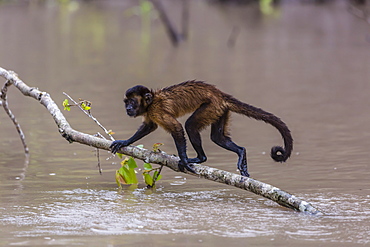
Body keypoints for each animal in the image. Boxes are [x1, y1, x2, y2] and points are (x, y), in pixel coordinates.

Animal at [110, 81, 292, 178]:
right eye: (126, 103)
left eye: (132, 102)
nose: (128, 109)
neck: (151, 102)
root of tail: (221, 95)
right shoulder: (150, 113)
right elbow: (149, 126)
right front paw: (125, 141)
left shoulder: (157, 110)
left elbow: (177, 128)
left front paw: (184, 160)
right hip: (220, 110)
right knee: (218, 138)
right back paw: (241, 152)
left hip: (212, 106)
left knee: (190, 126)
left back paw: (200, 158)